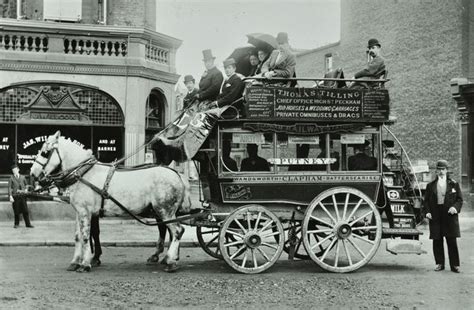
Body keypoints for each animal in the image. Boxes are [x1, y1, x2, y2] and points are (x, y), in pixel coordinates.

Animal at [30, 132, 191, 272]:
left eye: (45, 152)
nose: (32, 174)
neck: (84, 173)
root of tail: (177, 174)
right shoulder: (79, 211)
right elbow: (78, 236)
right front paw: (75, 262)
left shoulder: (85, 211)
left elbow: (85, 236)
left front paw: (85, 263)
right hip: (162, 211)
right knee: (170, 230)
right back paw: (168, 258)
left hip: (164, 210)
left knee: (177, 231)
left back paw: (170, 261)